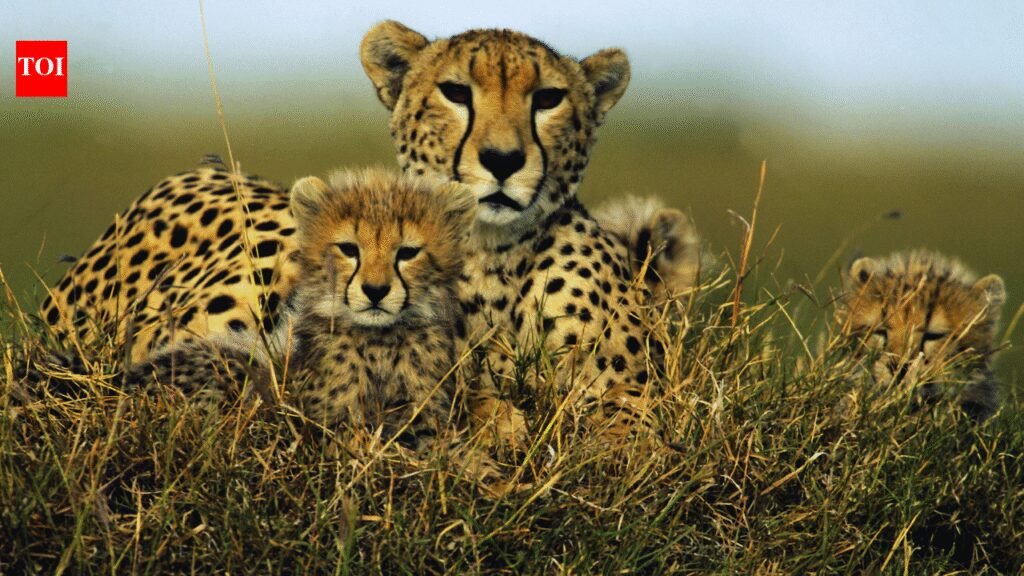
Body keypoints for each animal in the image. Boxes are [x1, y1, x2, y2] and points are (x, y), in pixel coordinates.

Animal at [129, 168, 477, 448]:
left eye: (407, 252)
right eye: (349, 249)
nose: (375, 291)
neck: (380, 340)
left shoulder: (425, 417)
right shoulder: (330, 424)